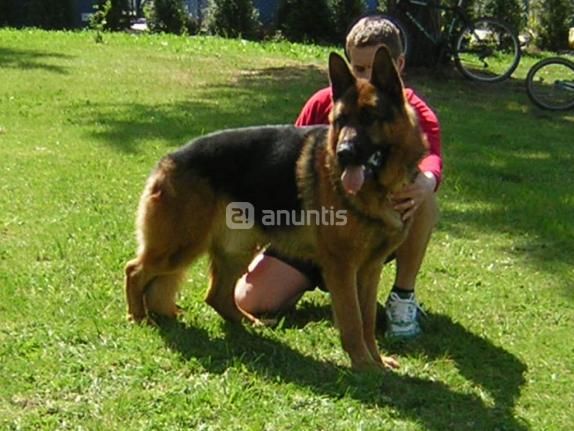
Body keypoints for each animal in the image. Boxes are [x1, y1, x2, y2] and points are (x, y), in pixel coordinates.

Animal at [125, 46, 428, 372]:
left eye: (370, 117)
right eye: (341, 119)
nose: (343, 154)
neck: (377, 190)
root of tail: (168, 159)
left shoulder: (369, 269)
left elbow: (367, 320)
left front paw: (377, 361)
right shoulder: (342, 267)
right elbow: (351, 319)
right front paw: (362, 364)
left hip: (236, 249)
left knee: (216, 296)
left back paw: (251, 323)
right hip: (181, 247)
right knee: (134, 270)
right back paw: (138, 317)